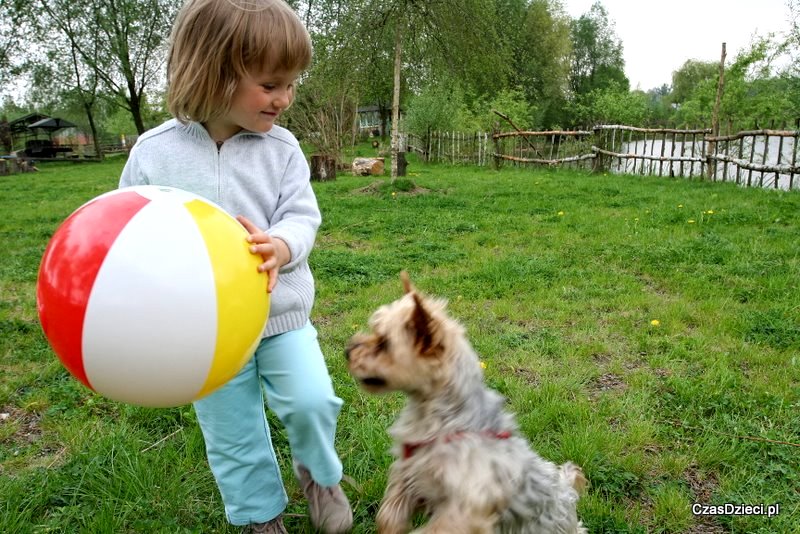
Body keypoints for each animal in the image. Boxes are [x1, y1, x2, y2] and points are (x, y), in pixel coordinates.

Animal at [344, 274, 588, 532]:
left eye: (384, 343)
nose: (347, 351)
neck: (444, 416)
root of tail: (566, 489)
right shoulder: (410, 471)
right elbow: (390, 510)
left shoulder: (466, 509)